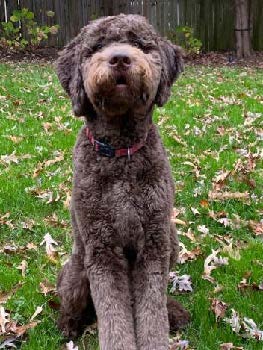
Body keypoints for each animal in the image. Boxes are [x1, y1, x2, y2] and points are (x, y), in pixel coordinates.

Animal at [56, 13, 191, 350]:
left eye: (141, 44)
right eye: (96, 47)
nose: (119, 58)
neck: (121, 154)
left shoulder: (153, 245)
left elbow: (152, 312)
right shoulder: (102, 250)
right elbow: (113, 315)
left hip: (172, 239)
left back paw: (173, 311)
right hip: (77, 270)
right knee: (69, 300)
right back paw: (68, 324)